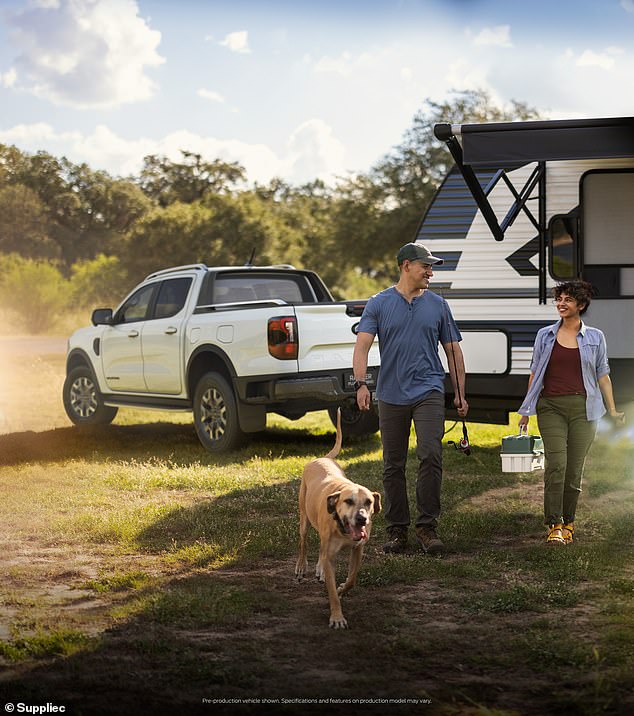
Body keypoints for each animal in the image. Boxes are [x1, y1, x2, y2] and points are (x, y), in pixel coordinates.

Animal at [296, 412, 380, 628]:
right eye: (348, 501)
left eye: (368, 502)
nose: (361, 519)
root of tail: (322, 458)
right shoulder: (331, 554)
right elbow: (332, 592)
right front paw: (337, 617)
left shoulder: (358, 549)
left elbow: (352, 579)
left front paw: (342, 588)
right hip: (304, 518)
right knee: (303, 542)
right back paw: (301, 567)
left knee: (320, 549)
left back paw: (319, 568)